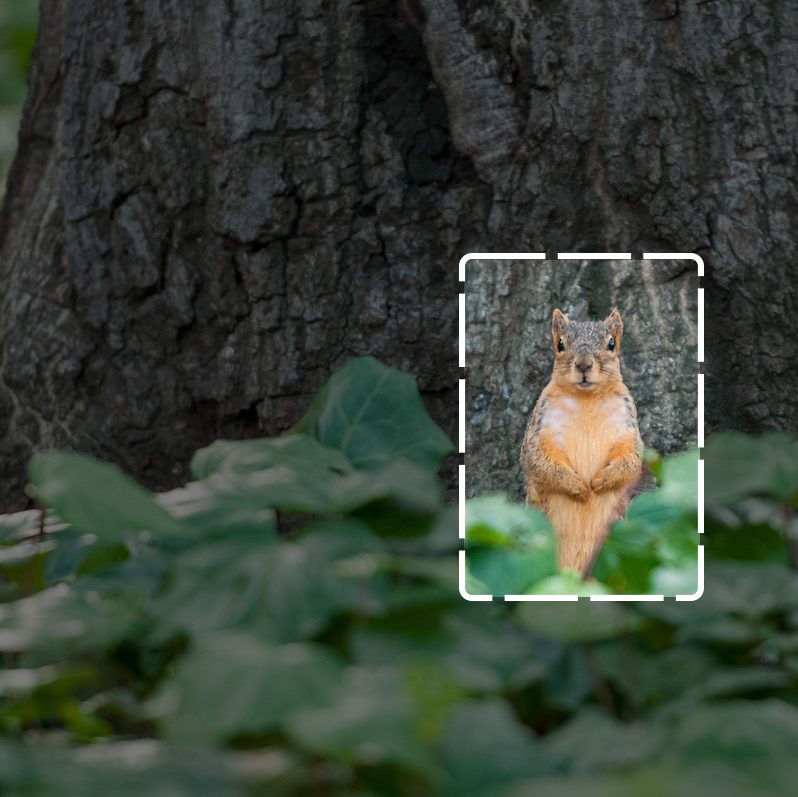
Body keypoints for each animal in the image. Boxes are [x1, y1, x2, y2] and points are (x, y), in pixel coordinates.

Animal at [520, 307, 643, 576]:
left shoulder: (627, 427)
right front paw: (579, 487)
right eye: (560, 343)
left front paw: (600, 481)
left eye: (611, 343)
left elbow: (632, 461)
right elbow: (539, 461)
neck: (586, 399)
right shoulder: (540, 429)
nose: (584, 364)